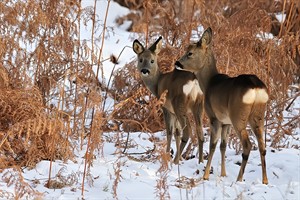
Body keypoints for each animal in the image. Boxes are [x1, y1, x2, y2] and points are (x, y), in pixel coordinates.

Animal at [175, 27, 268, 184]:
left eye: (190, 53)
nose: (177, 63)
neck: (208, 83)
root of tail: (256, 88)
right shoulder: (226, 122)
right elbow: (223, 146)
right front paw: (223, 174)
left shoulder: (214, 117)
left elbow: (212, 144)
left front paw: (206, 175)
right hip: (258, 115)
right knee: (262, 146)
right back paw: (265, 181)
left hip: (238, 116)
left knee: (247, 145)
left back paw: (239, 179)